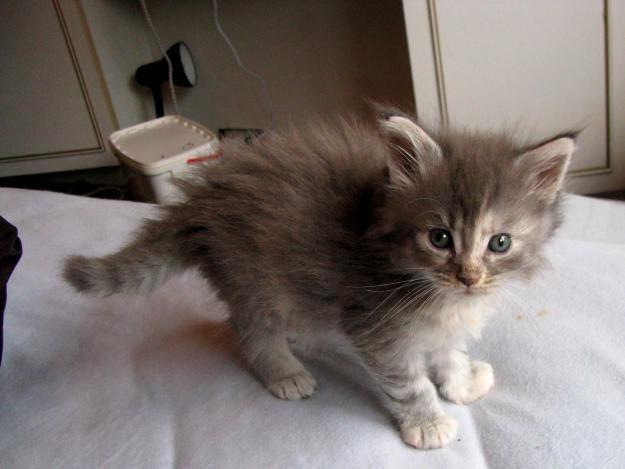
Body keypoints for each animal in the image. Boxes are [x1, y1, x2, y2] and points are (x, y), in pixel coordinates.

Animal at [64, 109, 576, 450]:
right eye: (440, 238)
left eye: (500, 243)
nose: (468, 277)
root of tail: (202, 199)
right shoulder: (375, 325)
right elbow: (409, 381)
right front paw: (428, 423)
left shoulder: (439, 323)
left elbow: (447, 353)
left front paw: (461, 383)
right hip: (255, 279)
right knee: (247, 328)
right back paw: (285, 371)